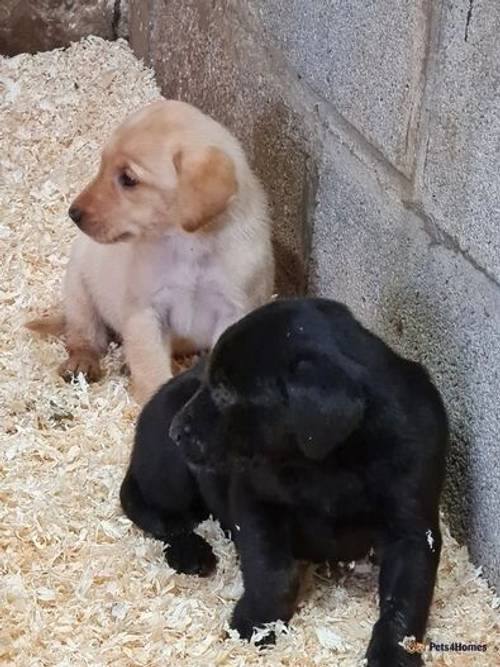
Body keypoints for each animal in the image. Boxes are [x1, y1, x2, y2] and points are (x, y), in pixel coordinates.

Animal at [121, 300, 450, 664]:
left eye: (225, 392)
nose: (176, 431)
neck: (330, 462)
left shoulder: (414, 530)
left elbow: (404, 602)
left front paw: (393, 655)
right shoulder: (254, 501)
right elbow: (273, 573)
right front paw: (254, 625)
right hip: (171, 473)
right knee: (152, 513)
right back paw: (188, 551)